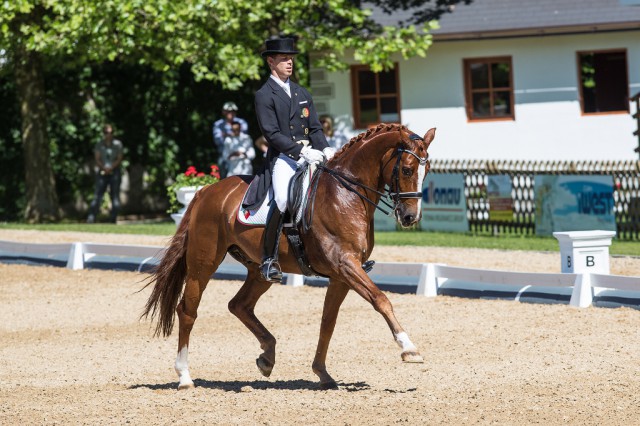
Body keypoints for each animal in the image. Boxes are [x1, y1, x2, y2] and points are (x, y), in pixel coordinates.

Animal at [142, 122, 438, 390]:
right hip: (203, 263)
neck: (345, 194)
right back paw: (184, 377)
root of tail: (205, 191)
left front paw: (322, 373)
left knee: (239, 305)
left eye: (427, 171)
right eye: (407, 169)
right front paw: (409, 349)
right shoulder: (345, 264)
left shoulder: (341, 275)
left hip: (259, 270)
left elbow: (327, 322)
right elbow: (381, 300)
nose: (410, 218)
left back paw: (267, 356)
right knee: (187, 311)